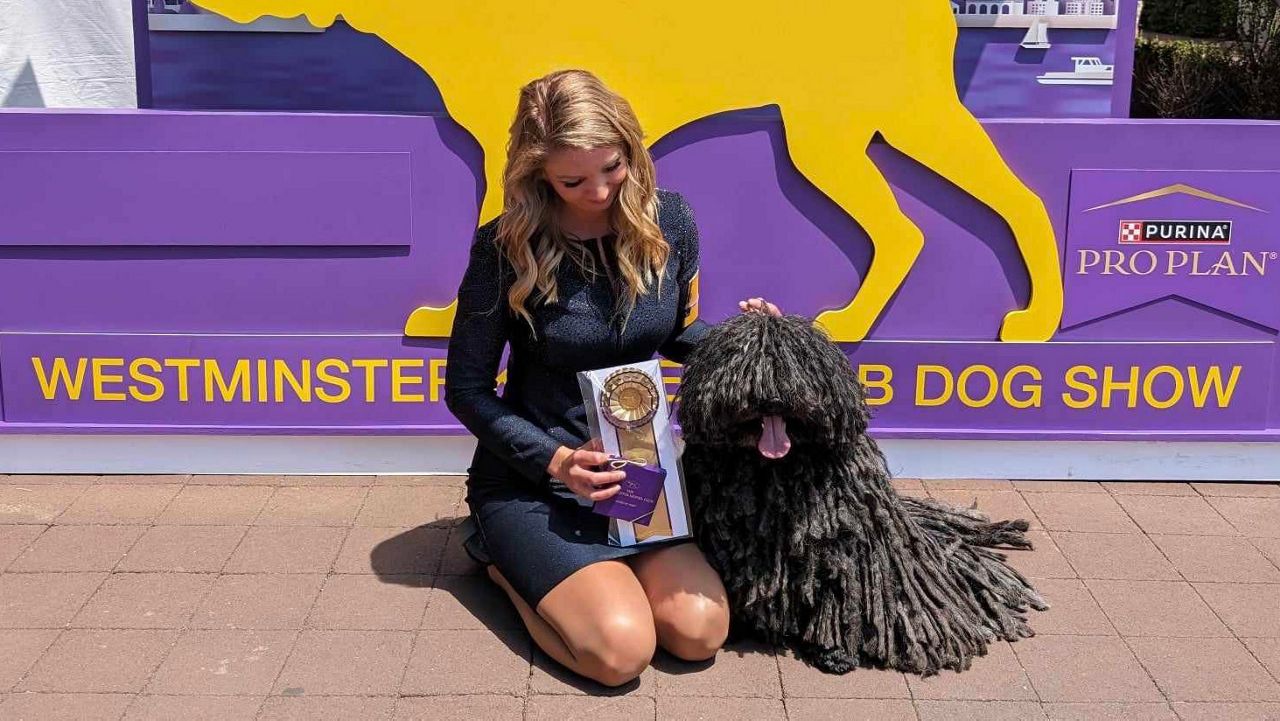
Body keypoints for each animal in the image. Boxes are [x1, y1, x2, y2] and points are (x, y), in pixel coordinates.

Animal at [675, 315, 1044, 676]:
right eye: (746, 364)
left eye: (795, 364)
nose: (773, 399)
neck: (774, 471)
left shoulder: (845, 548)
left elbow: (842, 593)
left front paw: (835, 651)